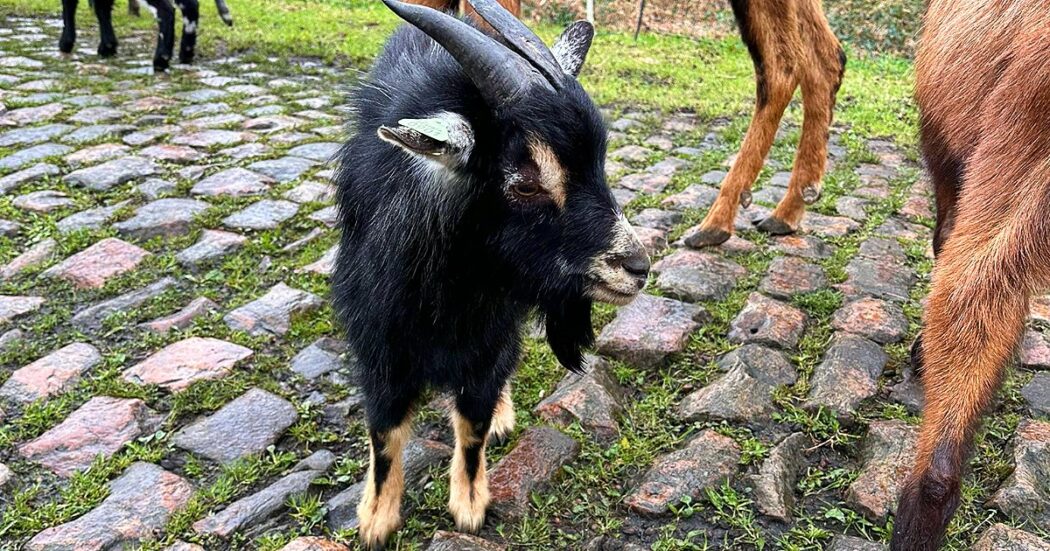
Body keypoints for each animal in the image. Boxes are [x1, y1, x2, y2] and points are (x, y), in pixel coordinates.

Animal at [58, 0, 233, 70]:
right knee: (190, 6)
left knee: (166, 10)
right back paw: (186, 55)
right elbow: (102, 8)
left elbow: (69, 6)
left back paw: (161, 59)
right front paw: (108, 47)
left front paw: (66, 43)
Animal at [333, 0, 646, 541]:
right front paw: (376, 518)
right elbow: (385, 432)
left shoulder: (490, 334)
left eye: (600, 165)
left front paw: (469, 504)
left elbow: (473, 423)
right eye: (525, 184)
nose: (638, 266)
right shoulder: (380, 344)